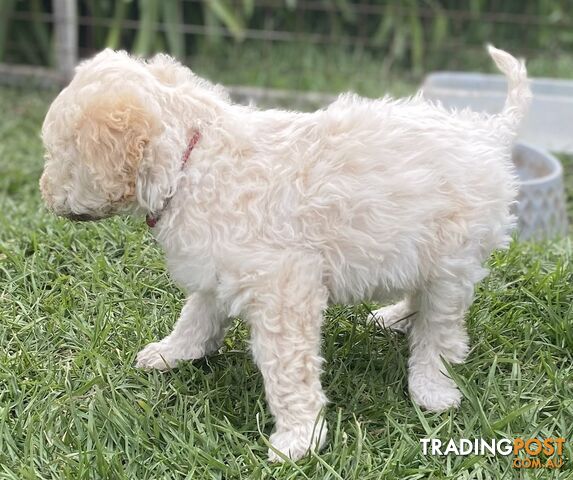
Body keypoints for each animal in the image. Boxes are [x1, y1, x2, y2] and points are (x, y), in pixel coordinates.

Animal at [40, 46, 528, 462]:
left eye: (59, 154)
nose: (44, 195)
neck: (192, 159)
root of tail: (488, 131)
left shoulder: (284, 287)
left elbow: (286, 367)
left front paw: (299, 438)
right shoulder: (220, 270)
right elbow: (196, 316)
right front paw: (169, 354)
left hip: (453, 259)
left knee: (440, 331)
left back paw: (431, 387)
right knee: (419, 299)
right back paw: (392, 318)